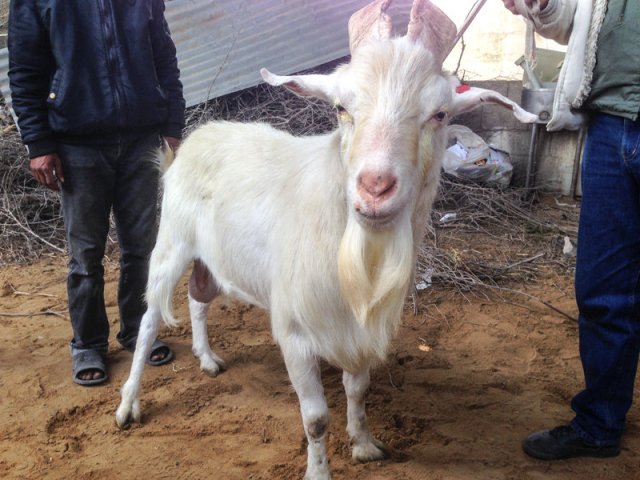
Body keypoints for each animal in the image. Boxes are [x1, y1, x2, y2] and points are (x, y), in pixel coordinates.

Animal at [116, 1, 536, 478]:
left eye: (440, 114)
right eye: (341, 108)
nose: (375, 187)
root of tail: (193, 139)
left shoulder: (360, 329)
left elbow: (358, 390)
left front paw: (365, 444)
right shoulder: (295, 331)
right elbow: (315, 418)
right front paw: (318, 470)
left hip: (213, 256)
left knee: (198, 297)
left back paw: (206, 358)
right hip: (171, 241)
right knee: (150, 319)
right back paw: (128, 404)